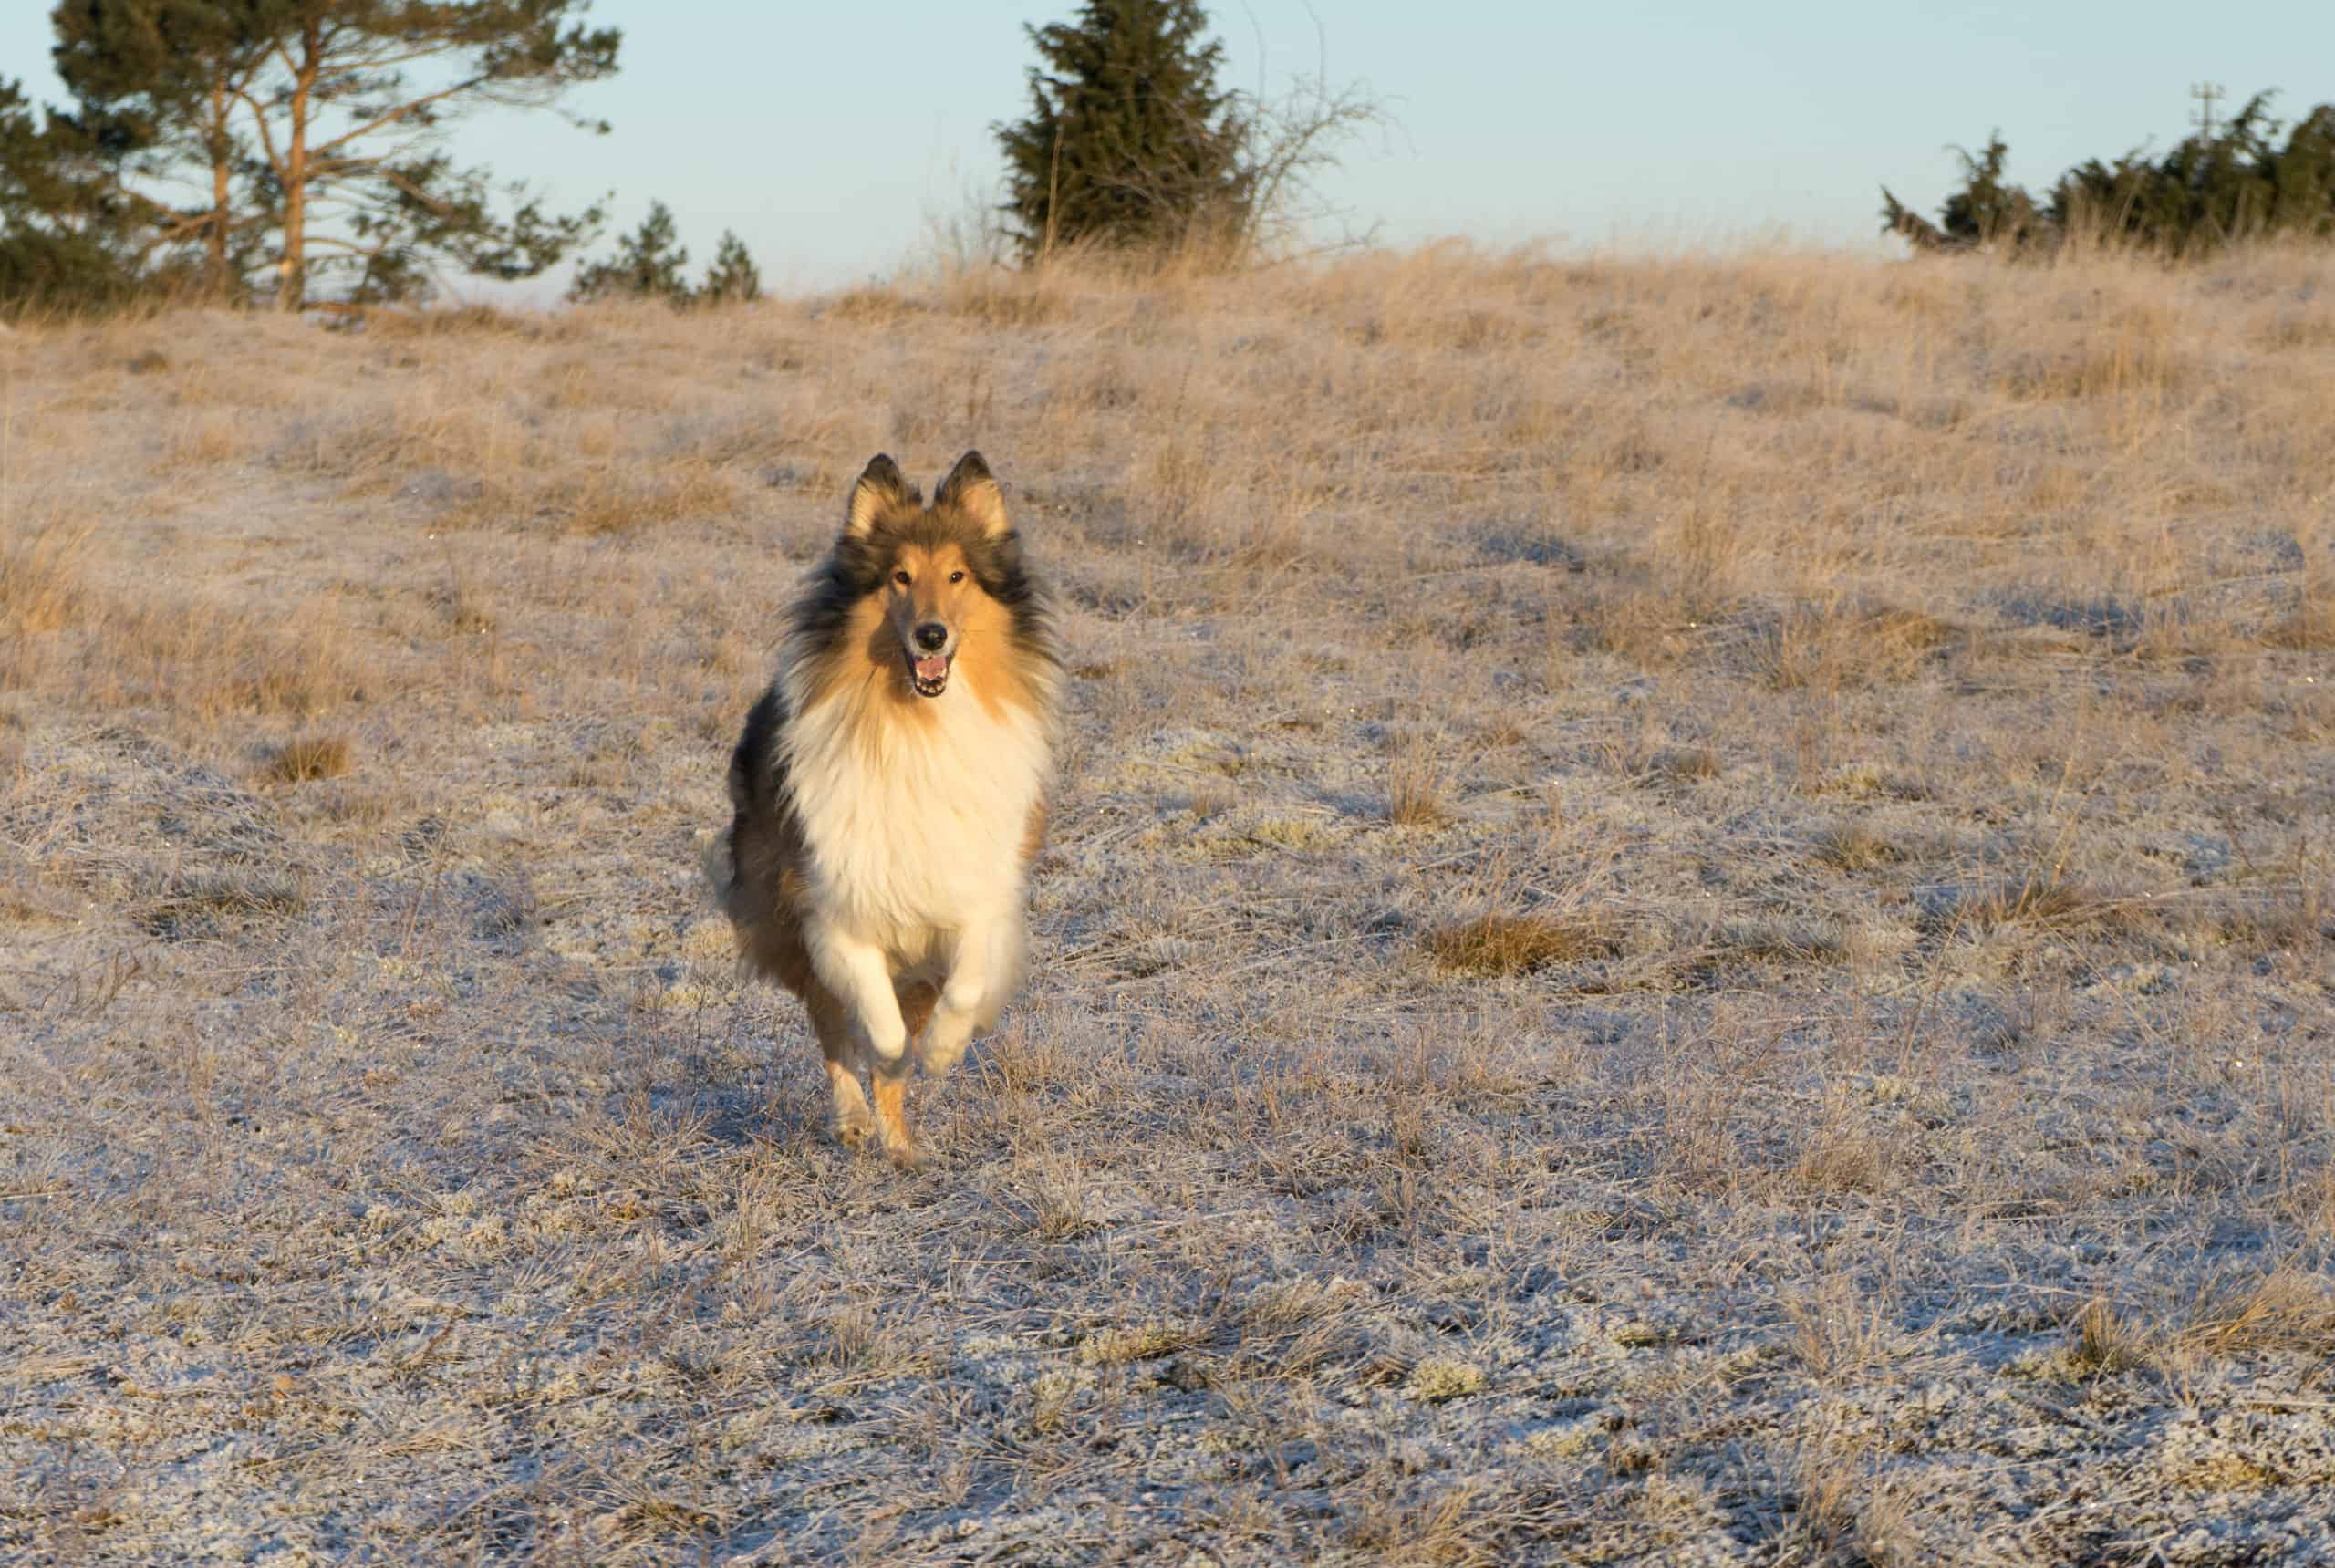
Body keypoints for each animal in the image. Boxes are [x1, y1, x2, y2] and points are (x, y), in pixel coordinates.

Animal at [700, 452, 1051, 1163]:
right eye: (899, 576)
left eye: (957, 575)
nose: (931, 635)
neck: (916, 726)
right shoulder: (836, 914)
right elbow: (879, 1033)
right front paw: (885, 1078)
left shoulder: (976, 898)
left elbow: (963, 989)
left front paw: (941, 1053)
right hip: (784, 916)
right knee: (833, 1027)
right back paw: (858, 1119)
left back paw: (901, 1141)